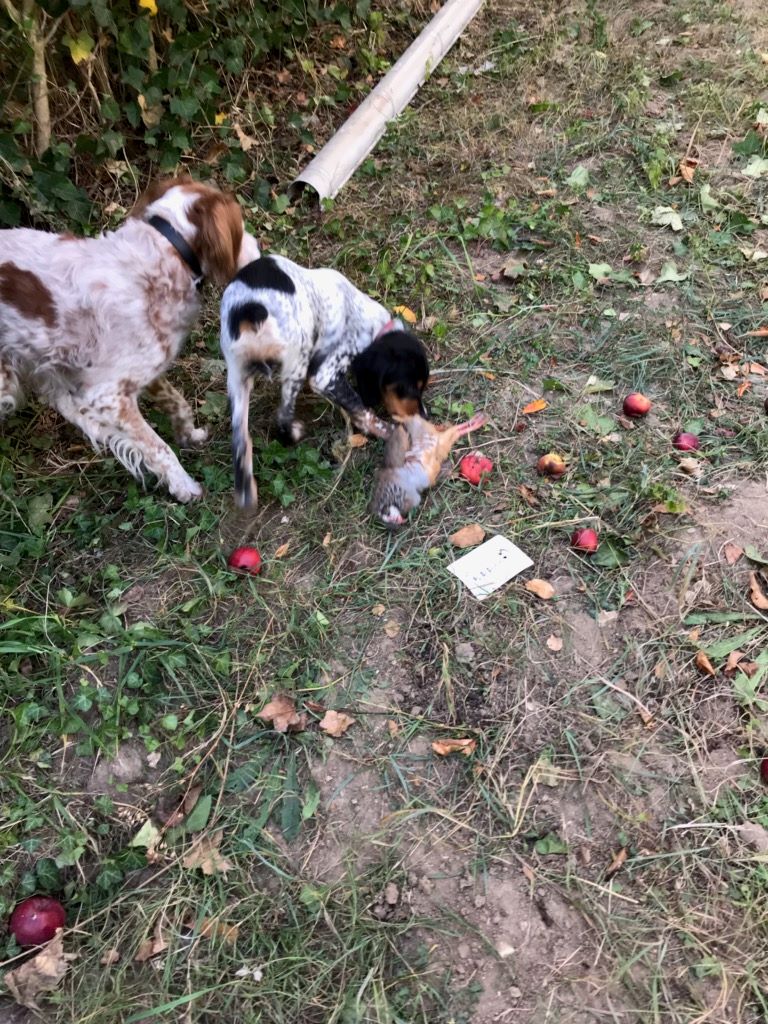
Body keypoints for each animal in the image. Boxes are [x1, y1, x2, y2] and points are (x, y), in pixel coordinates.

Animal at [0, 177, 260, 503]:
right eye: (240, 227)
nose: (258, 246)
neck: (166, 252)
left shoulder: (146, 369)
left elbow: (178, 403)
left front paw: (190, 435)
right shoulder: (107, 395)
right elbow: (159, 447)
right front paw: (184, 486)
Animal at [219, 256, 430, 507]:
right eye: (409, 387)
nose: (424, 416)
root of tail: (248, 310)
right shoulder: (324, 375)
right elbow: (361, 408)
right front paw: (388, 432)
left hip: (237, 378)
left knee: (240, 443)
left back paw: (246, 493)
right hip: (297, 358)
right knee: (282, 419)